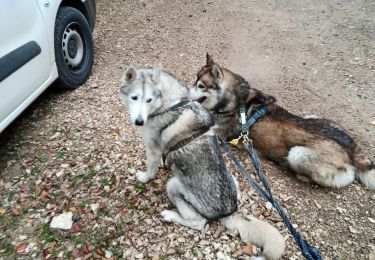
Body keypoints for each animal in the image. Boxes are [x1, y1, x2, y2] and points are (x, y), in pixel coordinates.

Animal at [120, 65, 284, 260]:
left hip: (173, 186)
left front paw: (144, 178)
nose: (139, 121)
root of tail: (229, 211)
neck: (172, 102)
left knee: (198, 222)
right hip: (232, 178)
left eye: (149, 100)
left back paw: (171, 215)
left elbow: (150, 169)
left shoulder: (152, 149)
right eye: (134, 97)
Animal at [192, 53, 374, 190]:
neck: (237, 101)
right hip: (311, 116)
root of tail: (352, 147)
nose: (188, 90)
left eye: (201, 85)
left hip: (297, 154)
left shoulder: (218, 133)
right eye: (195, 81)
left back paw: (301, 175)